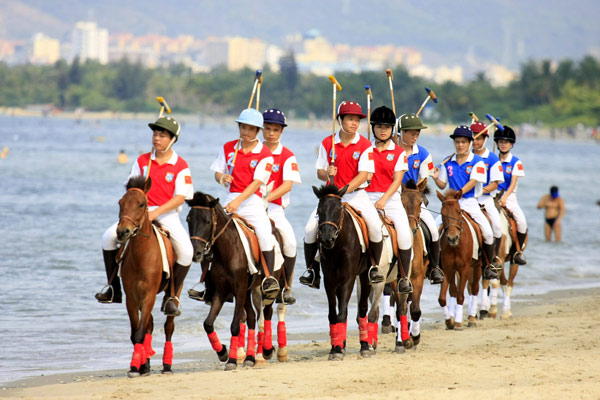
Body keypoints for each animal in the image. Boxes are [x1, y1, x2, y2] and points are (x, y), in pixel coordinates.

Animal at [115, 176, 176, 378]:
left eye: (141, 204)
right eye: (120, 203)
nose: (122, 232)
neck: (141, 256)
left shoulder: (149, 295)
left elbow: (140, 332)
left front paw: (136, 366)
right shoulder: (132, 298)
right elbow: (136, 333)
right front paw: (138, 366)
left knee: (168, 326)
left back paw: (167, 365)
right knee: (149, 325)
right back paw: (147, 363)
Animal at [185, 192, 286, 370]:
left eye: (207, 220)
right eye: (188, 219)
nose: (196, 254)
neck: (227, 249)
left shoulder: (239, 288)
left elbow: (235, 326)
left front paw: (231, 360)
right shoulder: (221, 290)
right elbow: (208, 323)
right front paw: (223, 352)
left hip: (264, 286)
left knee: (266, 313)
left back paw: (266, 351)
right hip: (247, 290)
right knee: (252, 317)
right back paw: (250, 358)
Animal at [312, 184, 372, 360]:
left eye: (338, 210)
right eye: (319, 210)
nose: (327, 238)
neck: (337, 246)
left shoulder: (348, 279)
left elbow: (343, 312)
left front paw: (337, 349)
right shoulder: (330, 281)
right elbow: (333, 314)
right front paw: (336, 347)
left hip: (365, 276)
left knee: (362, 309)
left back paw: (365, 346)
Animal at [438, 189, 486, 330]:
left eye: (459, 211)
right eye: (442, 213)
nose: (452, 238)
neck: (456, 246)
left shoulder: (464, 268)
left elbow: (460, 295)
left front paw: (458, 323)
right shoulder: (448, 268)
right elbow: (446, 295)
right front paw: (449, 321)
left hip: (477, 266)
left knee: (474, 288)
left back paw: (471, 319)